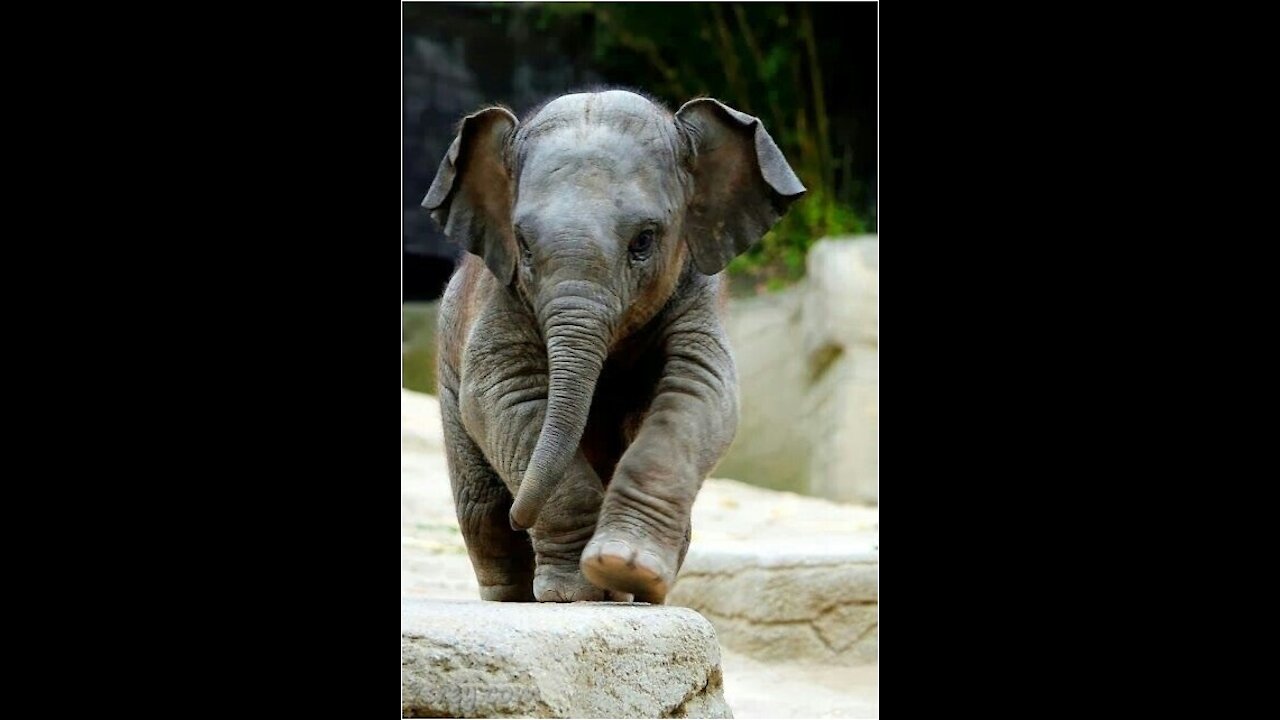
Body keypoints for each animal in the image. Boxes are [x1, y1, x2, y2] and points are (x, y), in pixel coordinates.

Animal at [430, 90, 808, 604]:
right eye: (523, 245)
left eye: (644, 241)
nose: (519, 515)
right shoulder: (500, 293)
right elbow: (504, 394)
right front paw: (574, 594)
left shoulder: (696, 290)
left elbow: (699, 390)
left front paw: (627, 568)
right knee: (482, 510)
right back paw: (519, 596)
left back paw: (636, 595)